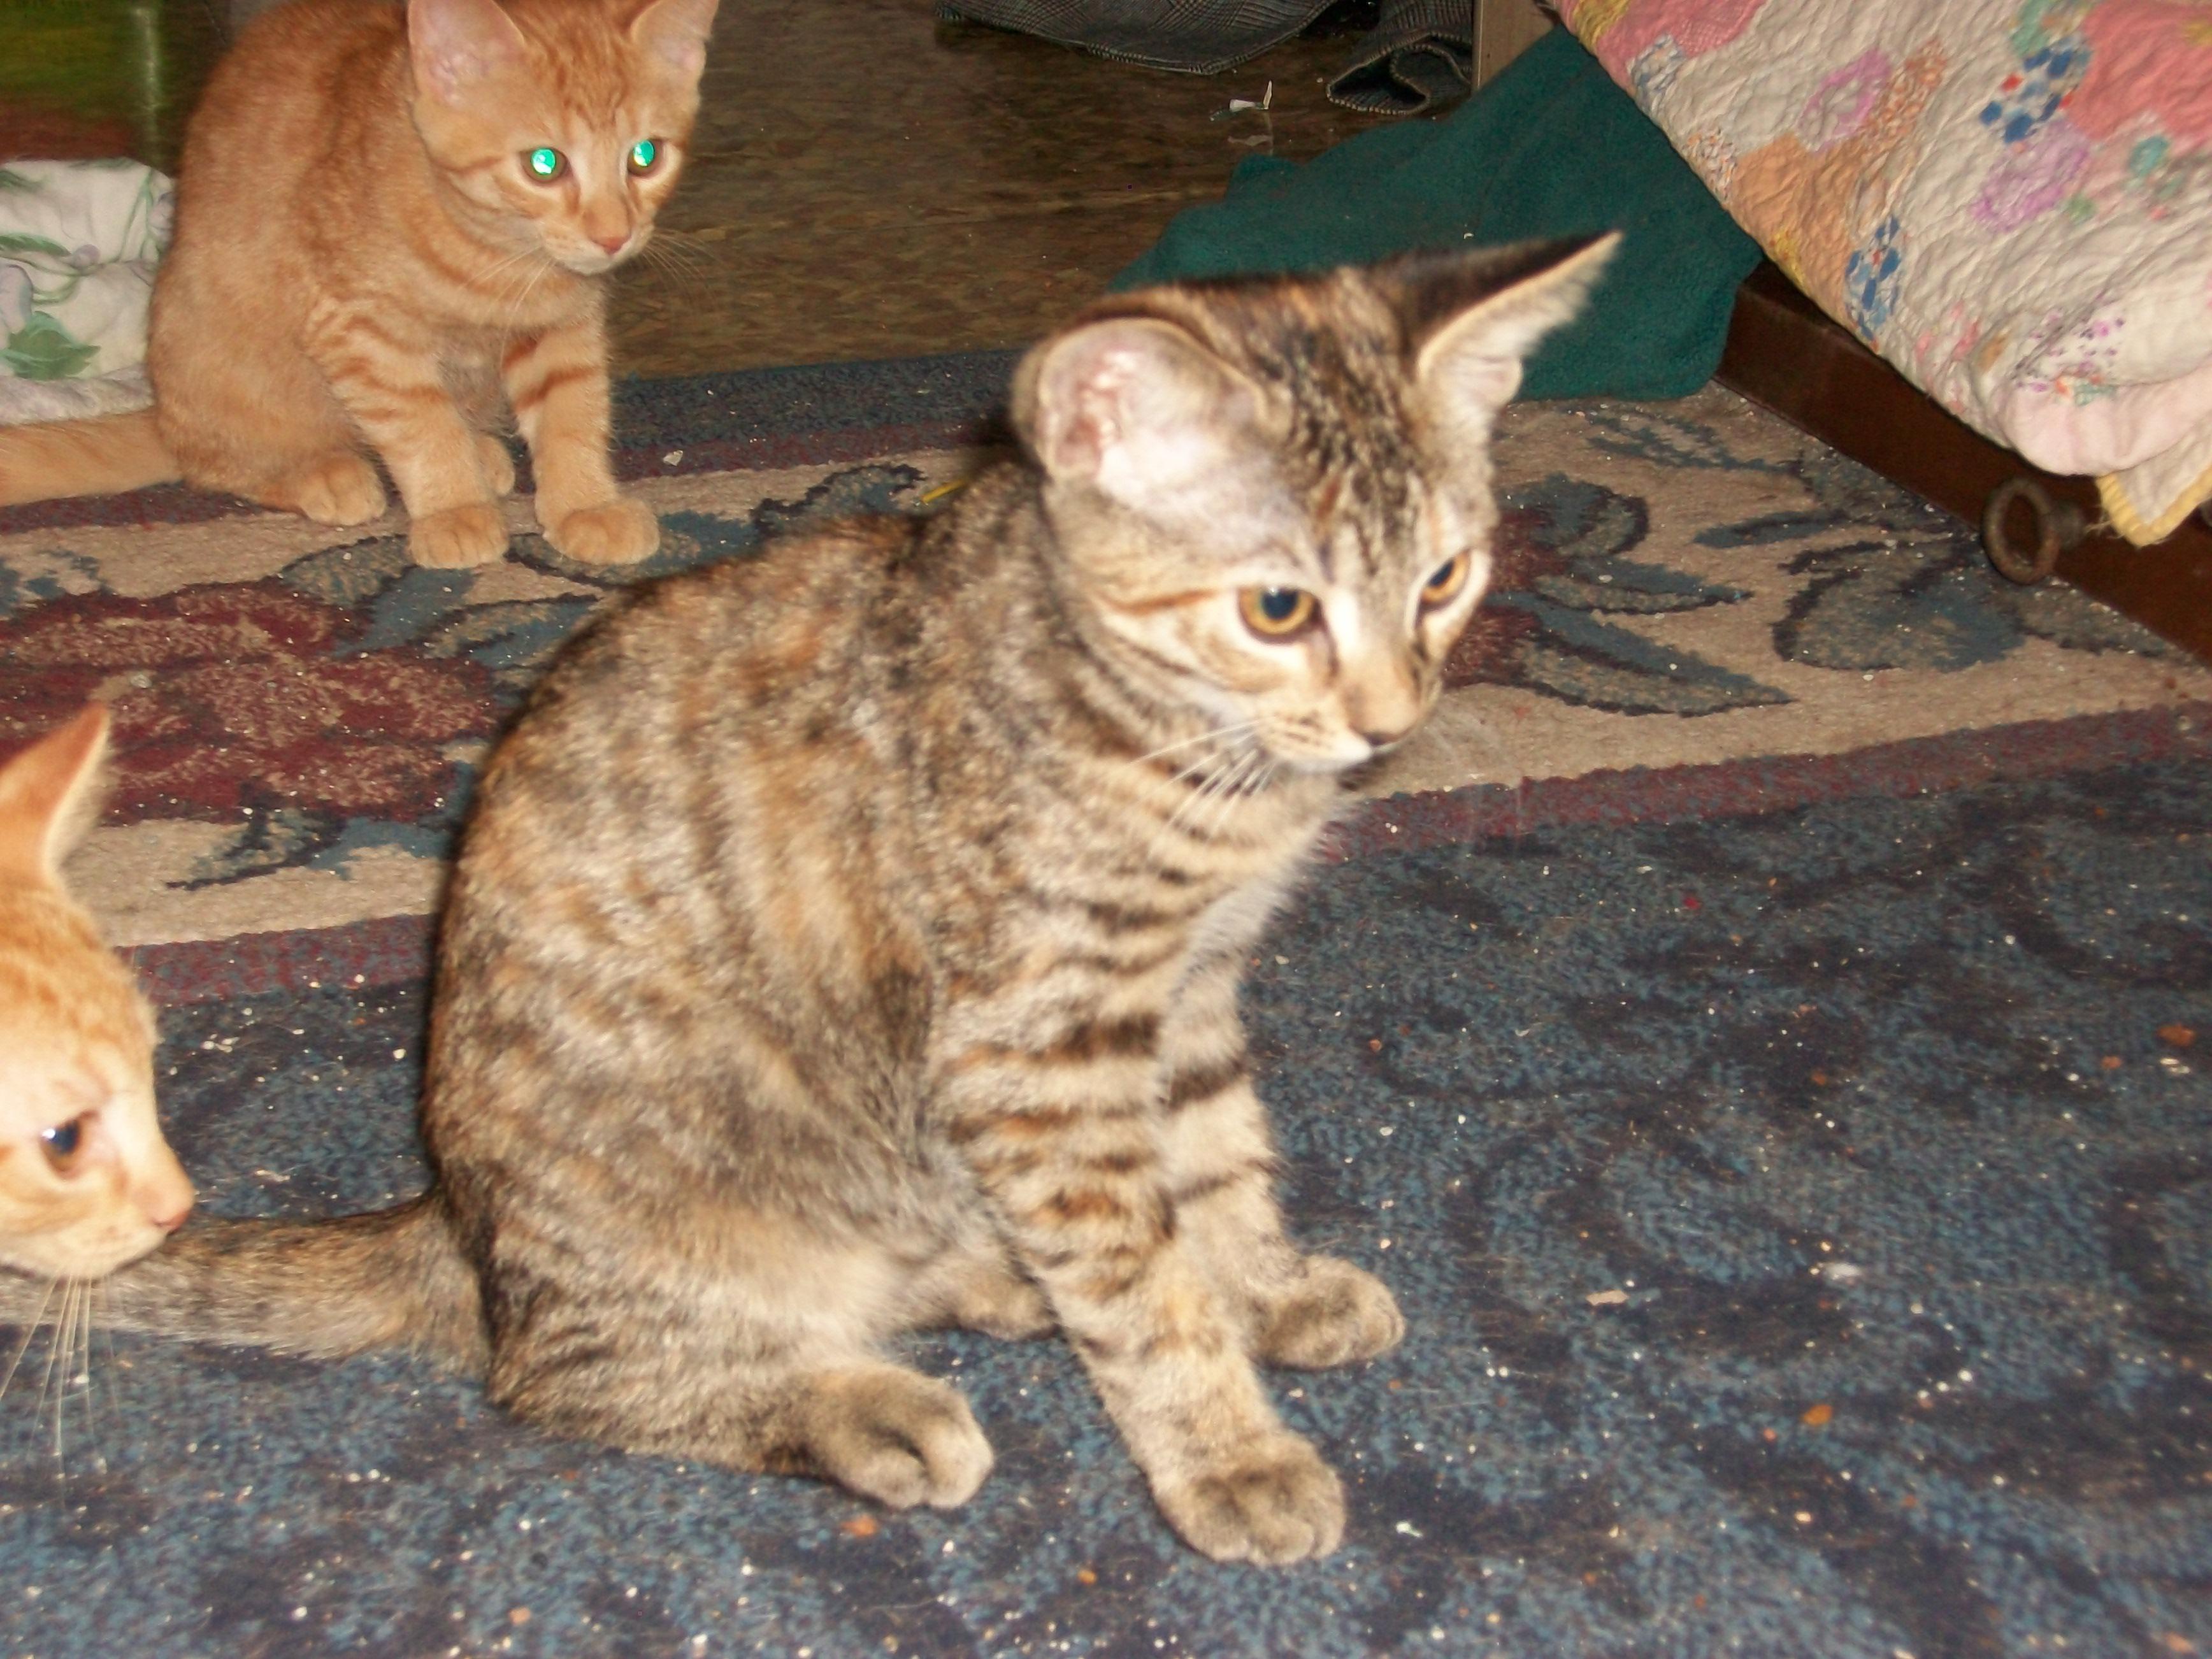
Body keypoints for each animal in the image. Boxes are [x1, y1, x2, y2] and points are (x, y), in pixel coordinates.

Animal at [0, 0, 712, 570]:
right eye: (544, 164)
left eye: (645, 157)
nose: (614, 236)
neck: (492, 255)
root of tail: (163, 406)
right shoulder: (359, 328)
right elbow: (420, 423)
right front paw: (452, 510)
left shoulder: (562, 325)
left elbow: (572, 410)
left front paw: (584, 504)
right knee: (214, 462)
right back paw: (323, 472)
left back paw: (481, 451)